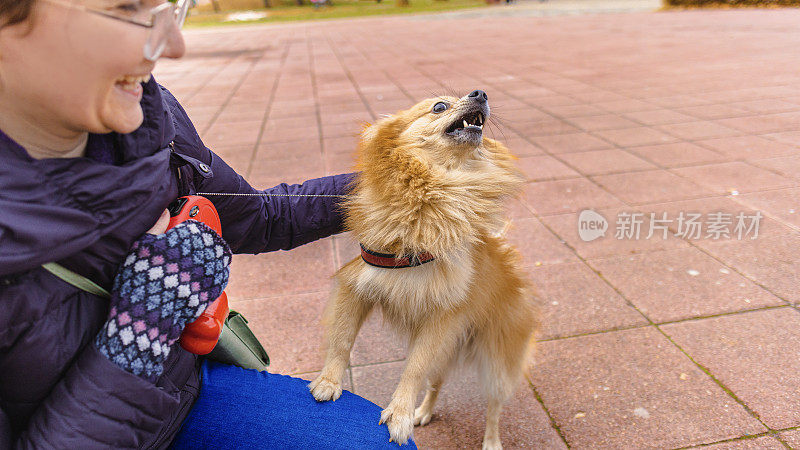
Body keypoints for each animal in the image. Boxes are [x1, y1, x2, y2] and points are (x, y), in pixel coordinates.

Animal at [310, 89, 540, 448]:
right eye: (439, 106)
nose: (480, 93)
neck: (437, 189)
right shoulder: (357, 285)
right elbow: (342, 339)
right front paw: (329, 381)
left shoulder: (441, 317)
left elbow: (413, 368)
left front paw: (400, 414)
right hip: (449, 350)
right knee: (437, 383)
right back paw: (424, 412)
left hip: (496, 363)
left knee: (493, 407)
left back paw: (490, 440)